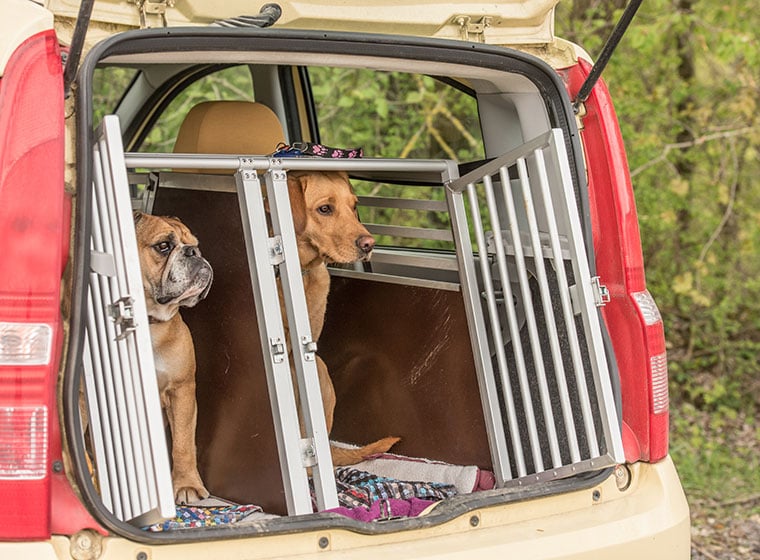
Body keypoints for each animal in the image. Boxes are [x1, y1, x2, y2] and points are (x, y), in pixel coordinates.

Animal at [134, 212, 214, 506]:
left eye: (196, 244)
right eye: (163, 246)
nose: (194, 253)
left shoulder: (182, 391)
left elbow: (182, 444)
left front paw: (186, 484)